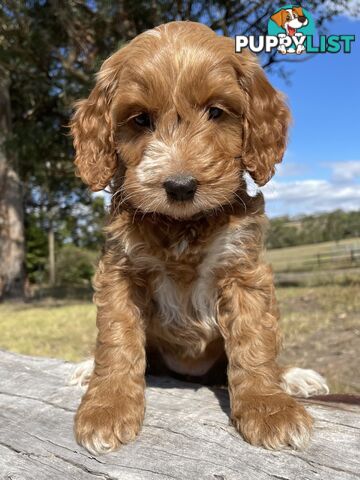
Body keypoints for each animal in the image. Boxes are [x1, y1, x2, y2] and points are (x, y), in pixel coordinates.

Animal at [70, 20, 330, 454]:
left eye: (216, 112)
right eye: (140, 119)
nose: (180, 186)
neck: (182, 226)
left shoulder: (243, 269)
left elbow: (254, 340)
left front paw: (269, 408)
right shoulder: (120, 270)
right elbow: (116, 338)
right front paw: (106, 407)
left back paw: (294, 376)